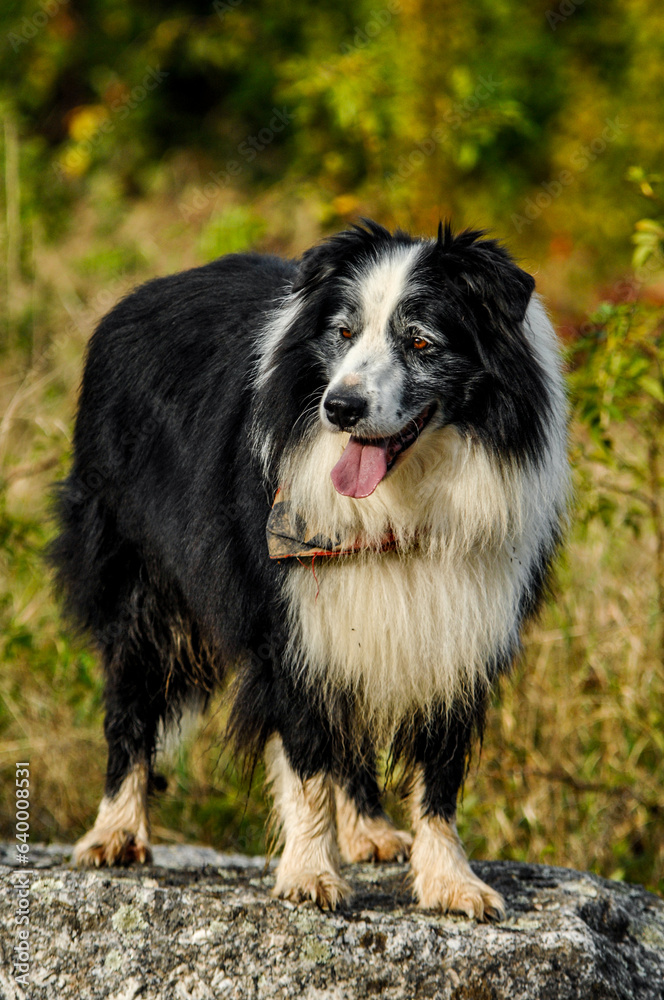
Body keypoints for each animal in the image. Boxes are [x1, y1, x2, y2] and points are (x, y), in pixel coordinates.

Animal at [53, 223, 572, 916]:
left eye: (421, 341)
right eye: (343, 333)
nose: (340, 408)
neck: (403, 502)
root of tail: (133, 299)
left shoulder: (463, 615)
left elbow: (437, 767)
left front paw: (453, 885)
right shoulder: (290, 602)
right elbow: (305, 751)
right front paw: (309, 878)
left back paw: (371, 834)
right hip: (135, 557)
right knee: (134, 685)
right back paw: (113, 834)